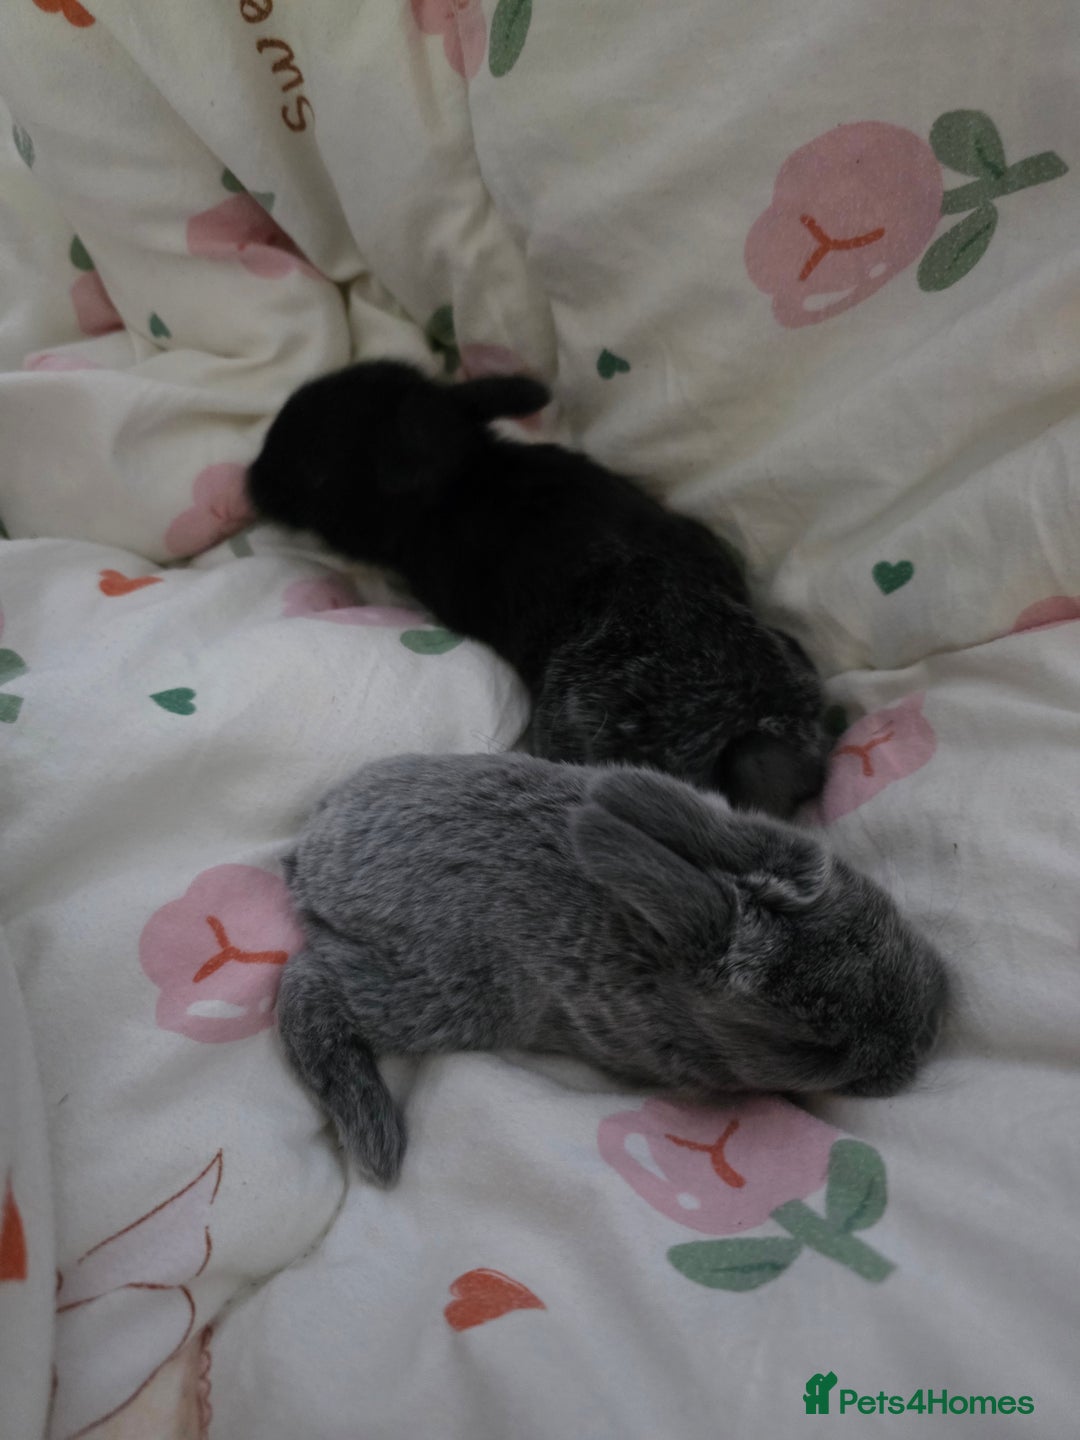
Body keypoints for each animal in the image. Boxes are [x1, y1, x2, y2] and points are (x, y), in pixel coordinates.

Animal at [277, 752, 949, 1185]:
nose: (926, 1038)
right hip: (440, 994)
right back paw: (377, 1138)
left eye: (879, 923)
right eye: (810, 1045)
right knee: (305, 987)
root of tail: (312, 856)